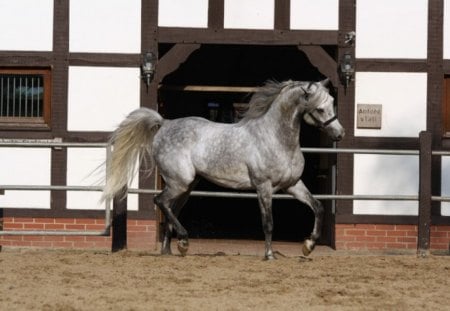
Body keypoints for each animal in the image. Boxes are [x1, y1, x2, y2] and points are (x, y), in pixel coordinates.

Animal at [102, 79, 344, 260]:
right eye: (320, 108)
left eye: (333, 101)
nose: (339, 134)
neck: (275, 137)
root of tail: (165, 123)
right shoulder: (264, 187)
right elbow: (268, 223)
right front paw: (269, 255)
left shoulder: (292, 185)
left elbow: (318, 207)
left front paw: (308, 245)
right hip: (180, 182)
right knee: (160, 201)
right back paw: (183, 240)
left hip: (187, 186)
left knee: (171, 208)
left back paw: (172, 249)